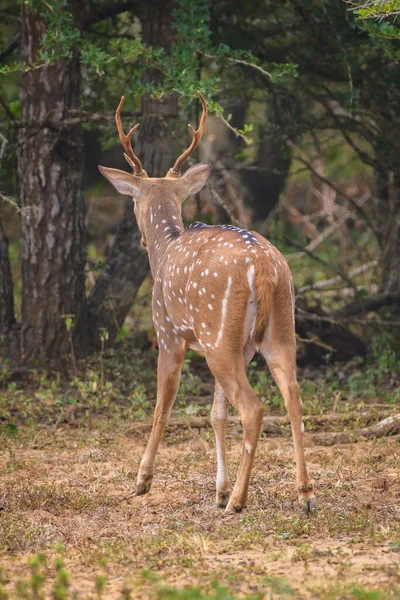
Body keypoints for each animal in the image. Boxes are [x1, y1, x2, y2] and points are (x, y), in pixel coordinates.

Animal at [99, 91, 316, 512]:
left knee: (253, 407)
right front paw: (218, 489)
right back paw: (304, 496)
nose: (140, 237)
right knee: (293, 397)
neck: (165, 250)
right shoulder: (230, 346)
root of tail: (264, 267)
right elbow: (216, 415)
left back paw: (240, 501)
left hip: (217, 333)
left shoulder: (168, 332)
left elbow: (162, 407)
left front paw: (142, 480)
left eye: (133, 201)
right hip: (274, 330)